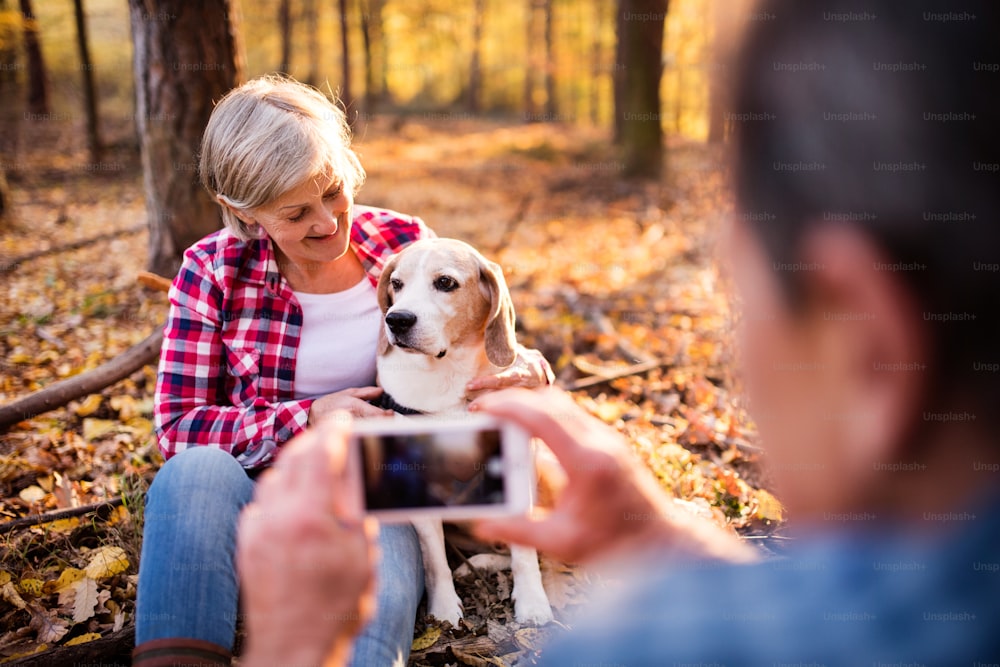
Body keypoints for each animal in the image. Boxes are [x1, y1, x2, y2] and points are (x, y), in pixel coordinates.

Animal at [376, 239, 556, 628]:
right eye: (396, 283)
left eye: (445, 283)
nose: (396, 319)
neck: (448, 375)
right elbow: (434, 560)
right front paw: (444, 610)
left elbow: (524, 552)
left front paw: (533, 604)